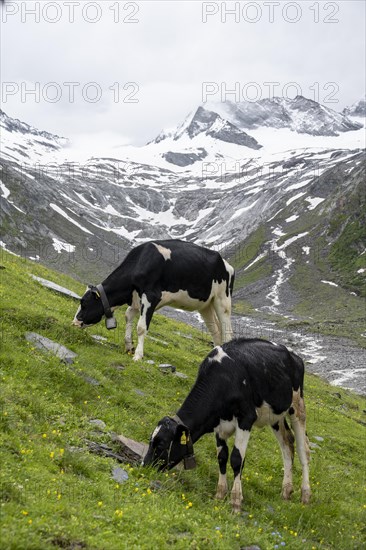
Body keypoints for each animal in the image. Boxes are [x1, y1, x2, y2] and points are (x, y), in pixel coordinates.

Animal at [73, 240, 236, 362]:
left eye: (84, 303)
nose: (74, 323)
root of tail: (227, 264)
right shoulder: (137, 300)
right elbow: (128, 317)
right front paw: (128, 346)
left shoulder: (151, 296)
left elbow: (141, 327)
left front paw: (138, 355)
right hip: (206, 305)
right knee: (216, 332)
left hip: (222, 300)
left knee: (227, 332)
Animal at [144, 338, 310, 516]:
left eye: (161, 444)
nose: (144, 465)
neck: (223, 379)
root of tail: (294, 355)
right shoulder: (218, 425)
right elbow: (222, 457)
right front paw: (220, 494)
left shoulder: (246, 418)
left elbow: (237, 459)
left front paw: (236, 502)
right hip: (275, 416)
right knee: (287, 444)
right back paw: (286, 491)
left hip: (297, 406)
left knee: (303, 450)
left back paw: (305, 495)